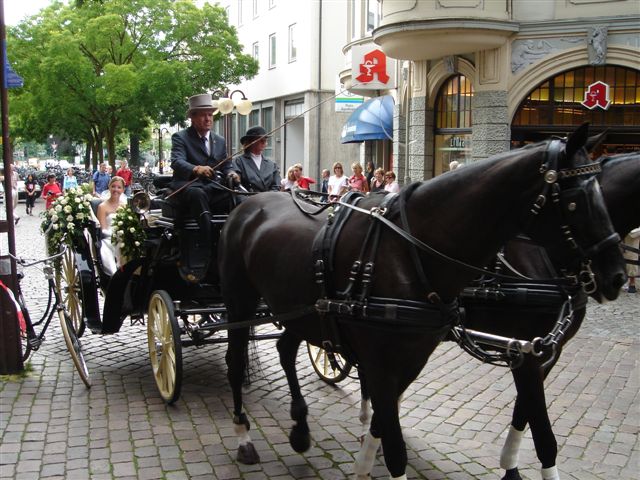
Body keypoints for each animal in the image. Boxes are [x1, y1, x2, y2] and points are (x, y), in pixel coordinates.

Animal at [219, 124, 624, 480]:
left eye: (602, 192)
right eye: (576, 200)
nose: (618, 275)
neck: (408, 251)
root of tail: (251, 203)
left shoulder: (431, 358)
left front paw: (364, 459)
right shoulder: (389, 364)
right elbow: (396, 449)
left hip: (300, 312)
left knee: (286, 348)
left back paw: (301, 429)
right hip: (240, 302)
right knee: (235, 362)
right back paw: (243, 436)